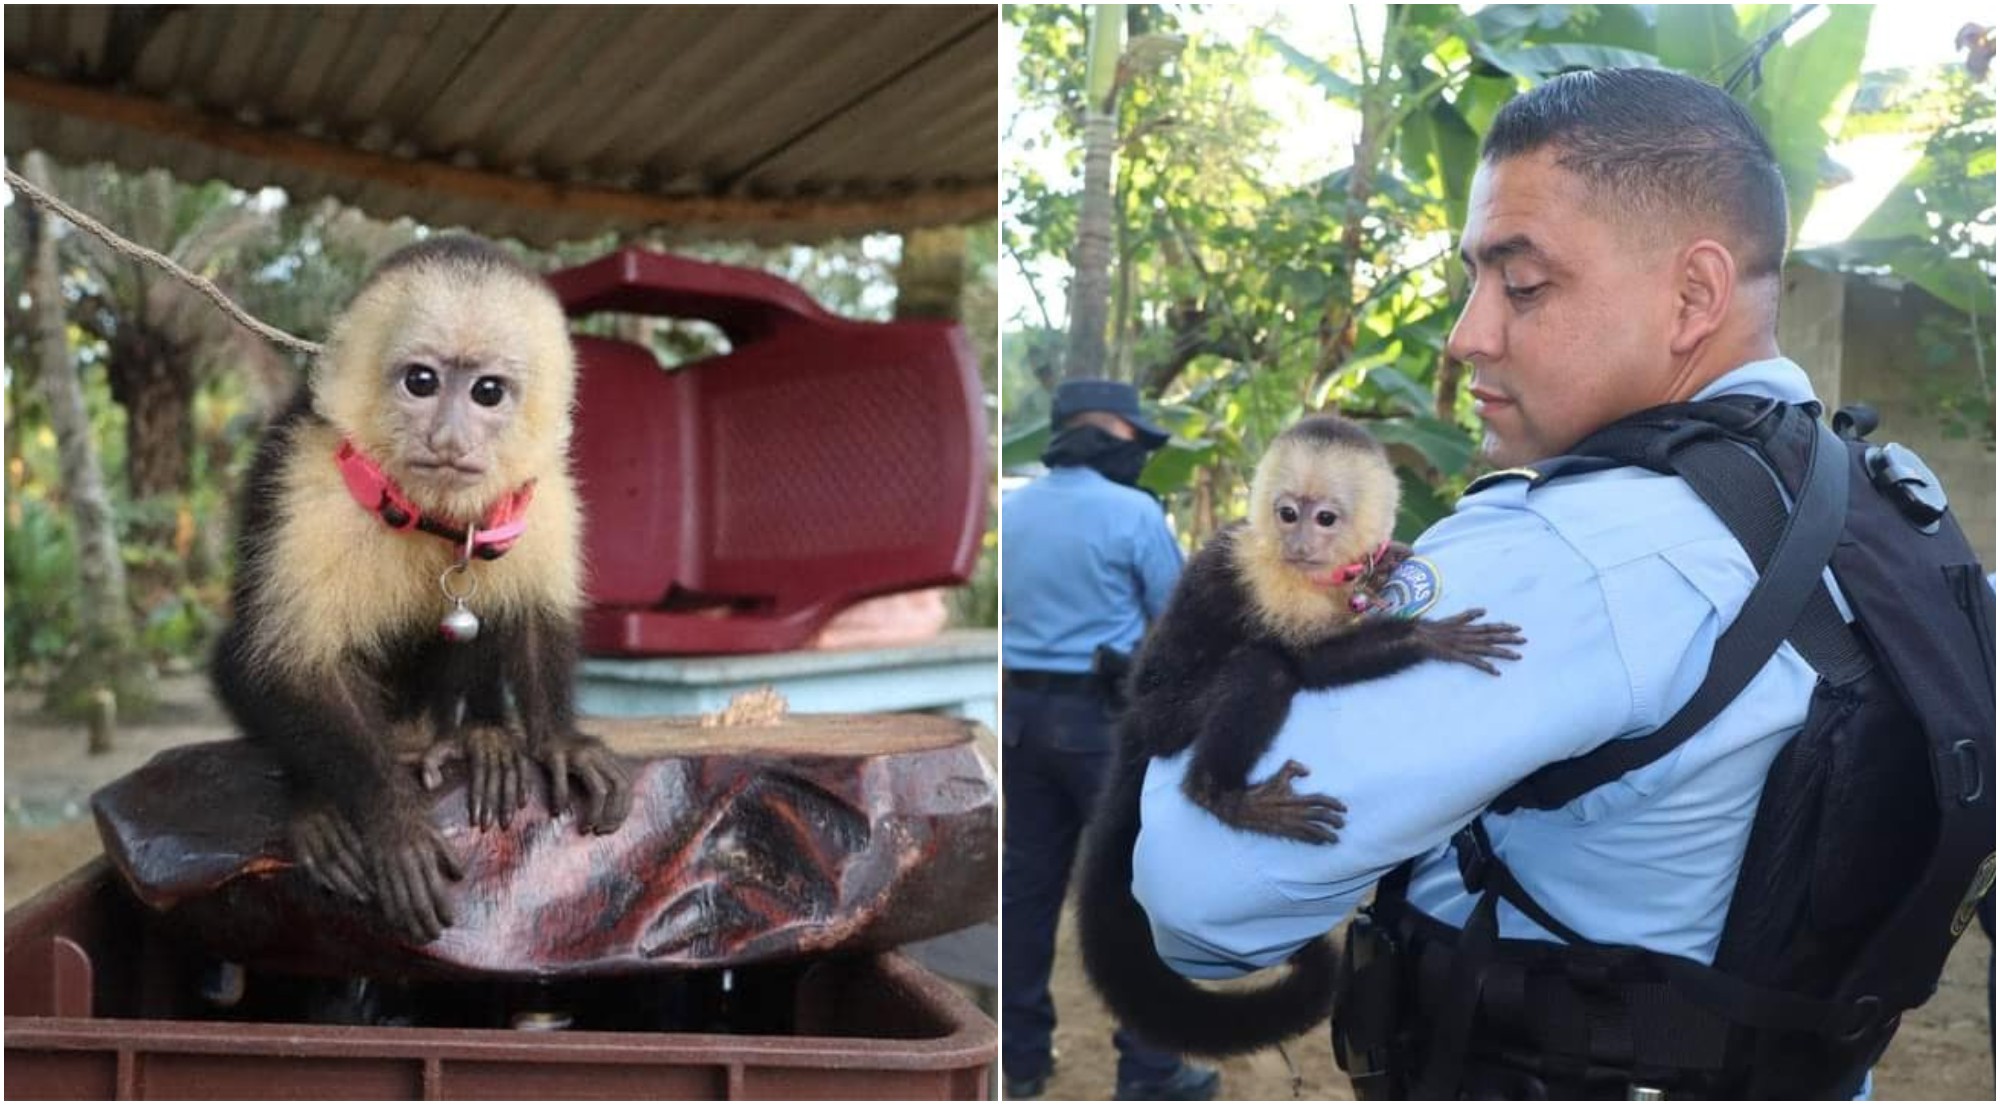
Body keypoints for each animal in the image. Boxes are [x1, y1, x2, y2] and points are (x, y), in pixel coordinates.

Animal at [215, 237, 628, 944]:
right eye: (421, 381)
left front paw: (557, 739)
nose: (448, 439)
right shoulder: (305, 472)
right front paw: (393, 817)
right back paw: (318, 804)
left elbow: (531, 611)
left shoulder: (540, 488)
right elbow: (288, 662)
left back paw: (476, 736)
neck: (426, 511)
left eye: (487, 391)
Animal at [1080, 412, 1528, 1056]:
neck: (1313, 574)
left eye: (1326, 519)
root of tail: (1133, 725)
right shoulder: (1264, 577)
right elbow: (1305, 660)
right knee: (1262, 669)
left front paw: (1385, 566)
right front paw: (1427, 639)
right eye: (1288, 512)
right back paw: (1221, 794)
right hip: (1169, 718)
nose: (1298, 543)